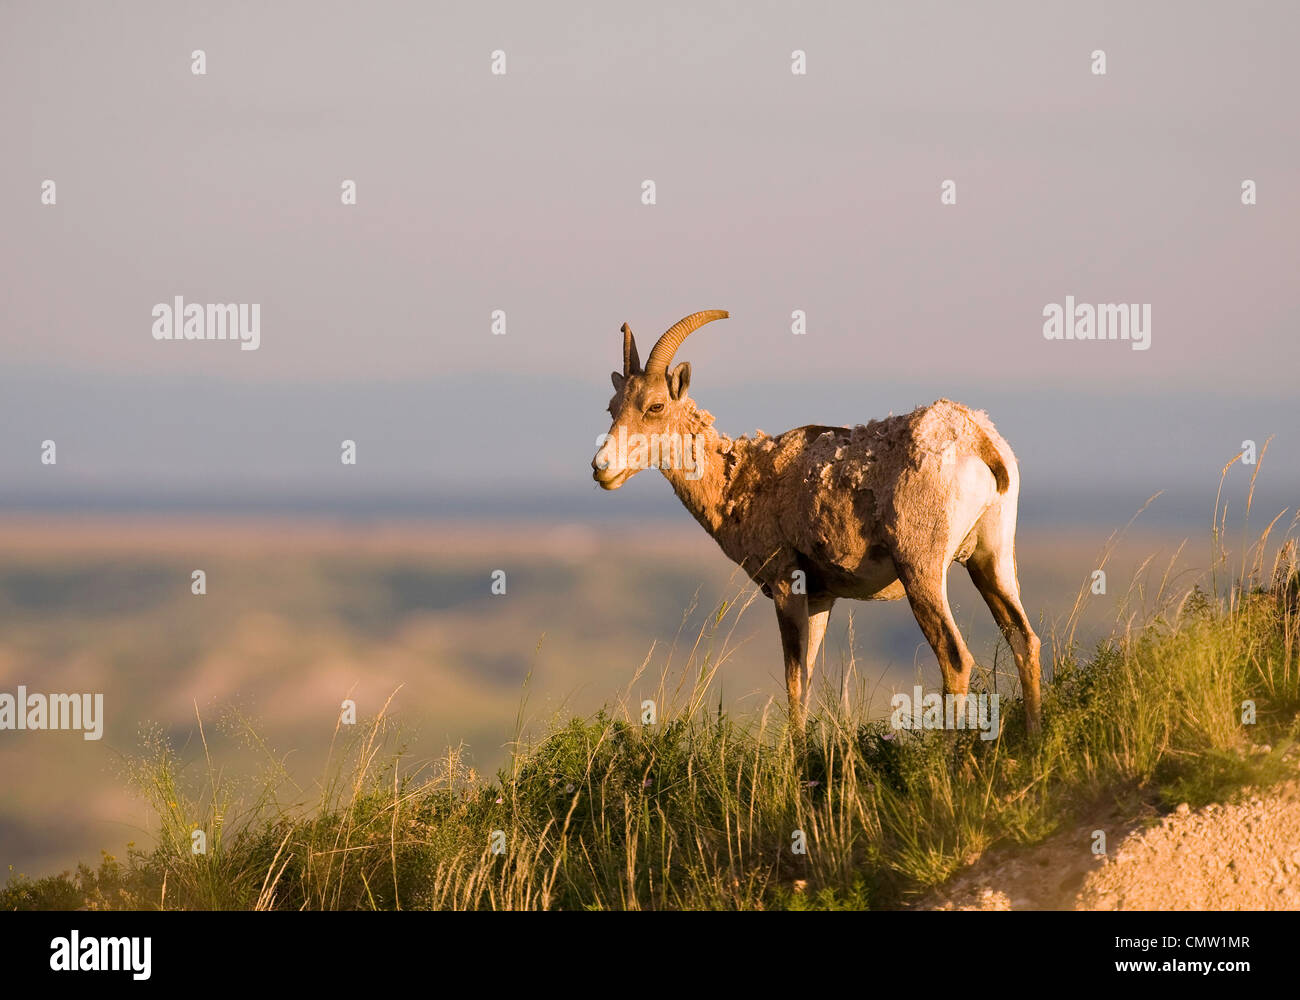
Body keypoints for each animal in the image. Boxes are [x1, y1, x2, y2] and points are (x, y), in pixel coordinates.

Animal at [591, 309, 1042, 736]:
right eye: (613, 407)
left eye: (655, 406)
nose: (601, 468)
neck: (746, 477)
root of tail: (977, 438)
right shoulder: (821, 598)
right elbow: (806, 677)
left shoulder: (785, 584)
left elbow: (794, 678)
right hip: (991, 560)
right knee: (1024, 640)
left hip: (922, 570)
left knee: (955, 657)